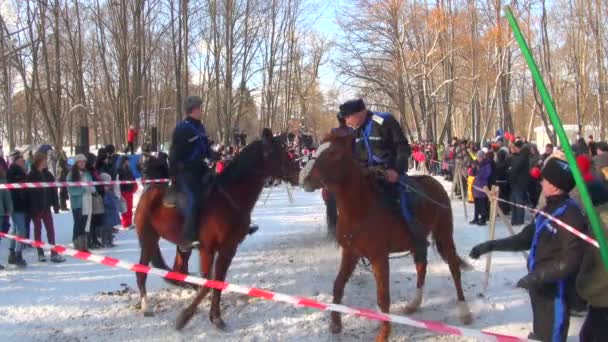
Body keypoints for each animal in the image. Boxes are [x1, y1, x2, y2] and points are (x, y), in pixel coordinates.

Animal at [134, 132, 294, 330]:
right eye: (274, 151)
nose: (296, 171)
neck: (229, 197)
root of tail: (149, 191)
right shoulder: (207, 249)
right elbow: (208, 282)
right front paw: (184, 317)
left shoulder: (229, 248)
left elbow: (217, 281)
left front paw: (216, 317)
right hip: (148, 239)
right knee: (141, 272)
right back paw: (146, 307)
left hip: (178, 246)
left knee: (178, 271)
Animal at [300, 133, 476, 342]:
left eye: (333, 152)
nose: (304, 178)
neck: (360, 209)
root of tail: (436, 185)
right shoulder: (350, 253)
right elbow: (338, 285)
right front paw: (336, 324)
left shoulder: (379, 257)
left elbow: (383, 298)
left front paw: (383, 334)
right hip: (417, 242)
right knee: (421, 266)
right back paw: (414, 303)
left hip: (444, 234)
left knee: (454, 268)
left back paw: (464, 311)